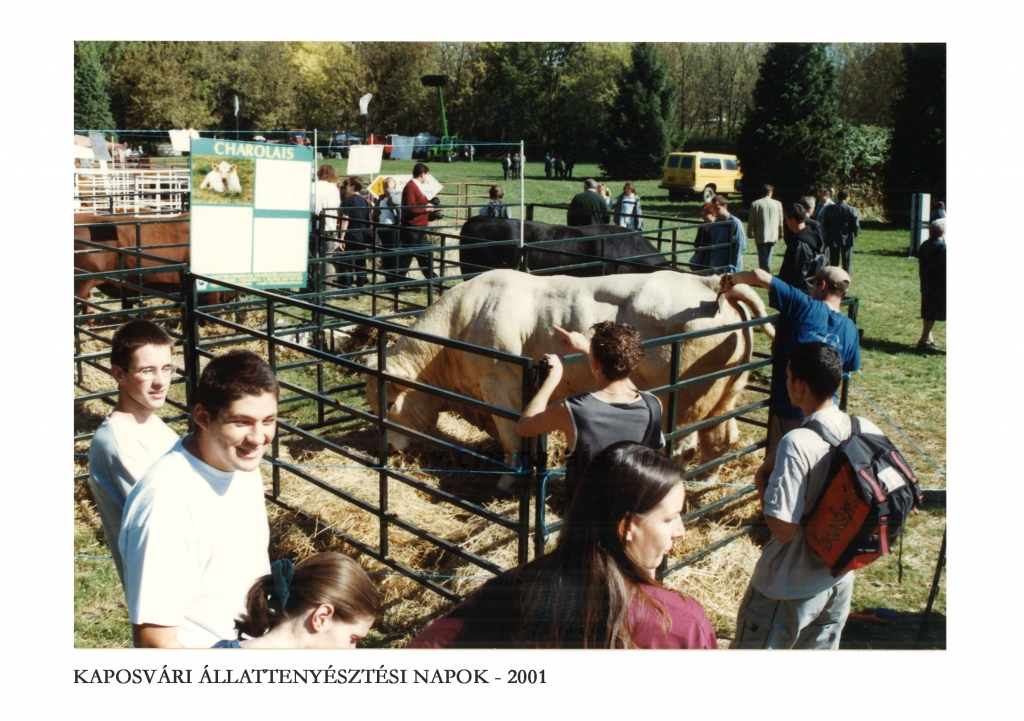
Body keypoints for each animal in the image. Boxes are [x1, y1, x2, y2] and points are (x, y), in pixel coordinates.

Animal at [364, 268, 770, 483]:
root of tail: (711, 284)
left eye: (389, 402)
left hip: (684, 403)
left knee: (686, 448)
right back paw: (706, 481)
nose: (389, 449)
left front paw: (507, 483)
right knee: (721, 439)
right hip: (724, 397)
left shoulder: (501, 389)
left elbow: (511, 439)